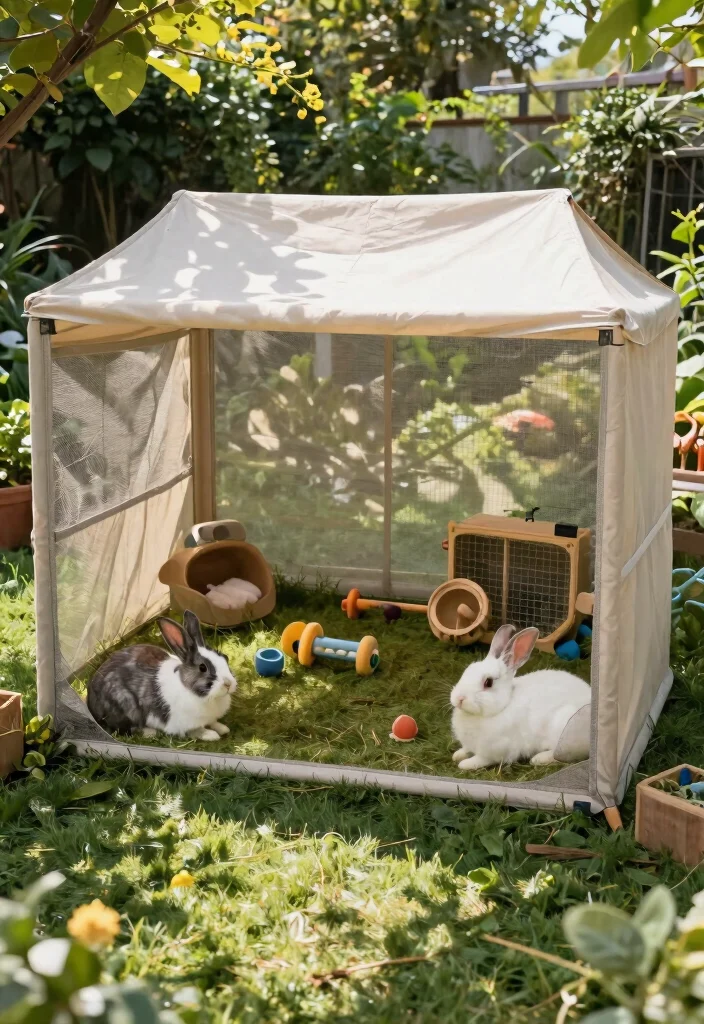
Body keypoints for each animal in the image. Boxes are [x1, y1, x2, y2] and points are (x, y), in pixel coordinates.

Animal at [87, 611, 236, 742]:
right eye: (202, 667)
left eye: (225, 657)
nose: (228, 684)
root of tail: (90, 704)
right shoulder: (183, 723)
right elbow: (196, 731)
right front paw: (211, 735)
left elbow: (213, 722)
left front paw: (223, 728)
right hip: (126, 705)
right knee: (126, 728)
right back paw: (149, 732)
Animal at [450, 624, 591, 771]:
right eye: (467, 670)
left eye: (488, 682)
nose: (459, 699)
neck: (503, 706)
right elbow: (466, 749)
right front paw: (458, 754)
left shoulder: (496, 751)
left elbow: (482, 759)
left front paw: (465, 764)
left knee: (561, 755)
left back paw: (539, 758)